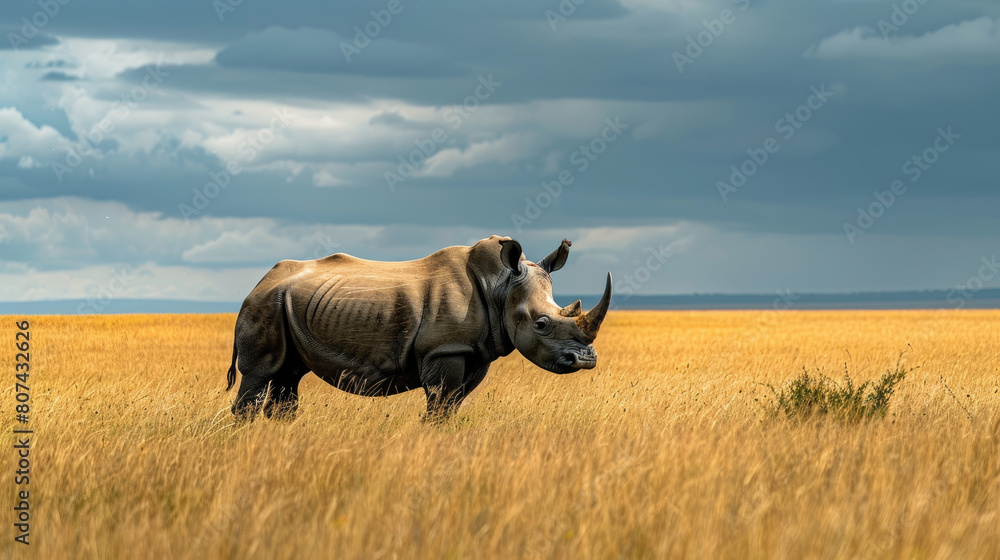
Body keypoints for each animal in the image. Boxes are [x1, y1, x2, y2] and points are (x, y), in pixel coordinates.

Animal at [225, 235, 612, 420]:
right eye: (542, 323)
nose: (585, 360)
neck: (500, 286)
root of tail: (259, 282)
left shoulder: (473, 350)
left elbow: (452, 405)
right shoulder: (444, 348)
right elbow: (439, 405)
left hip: (285, 304)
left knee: (288, 375)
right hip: (265, 305)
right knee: (261, 374)